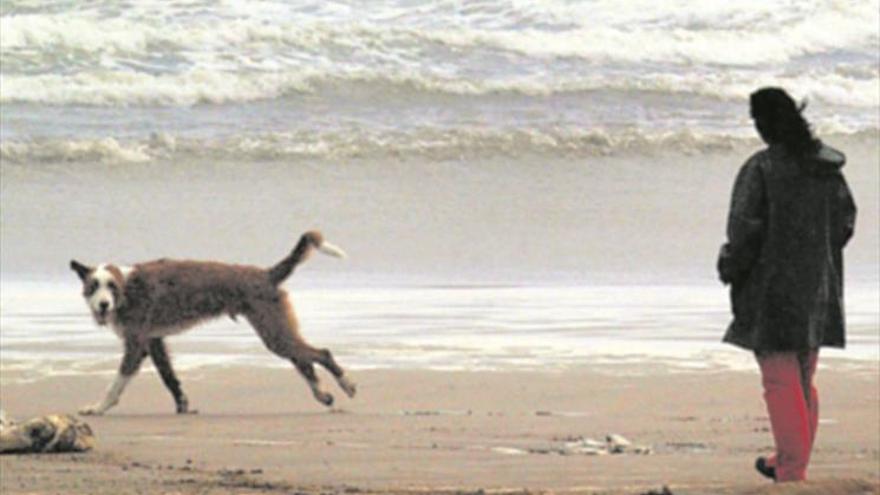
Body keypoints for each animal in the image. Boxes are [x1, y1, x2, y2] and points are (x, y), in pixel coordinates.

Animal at [69, 232, 354, 414]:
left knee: (322, 354)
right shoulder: (154, 341)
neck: (129, 288)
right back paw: (322, 394)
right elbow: (169, 377)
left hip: (274, 333)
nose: (103, 305)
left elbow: (116, 383)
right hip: (277, 332)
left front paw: (98, 408)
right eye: (93, 287)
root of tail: (266, 274)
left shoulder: (136, 344)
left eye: (111, 287)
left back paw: (347, 384)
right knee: (304, 361)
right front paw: (182, 405)